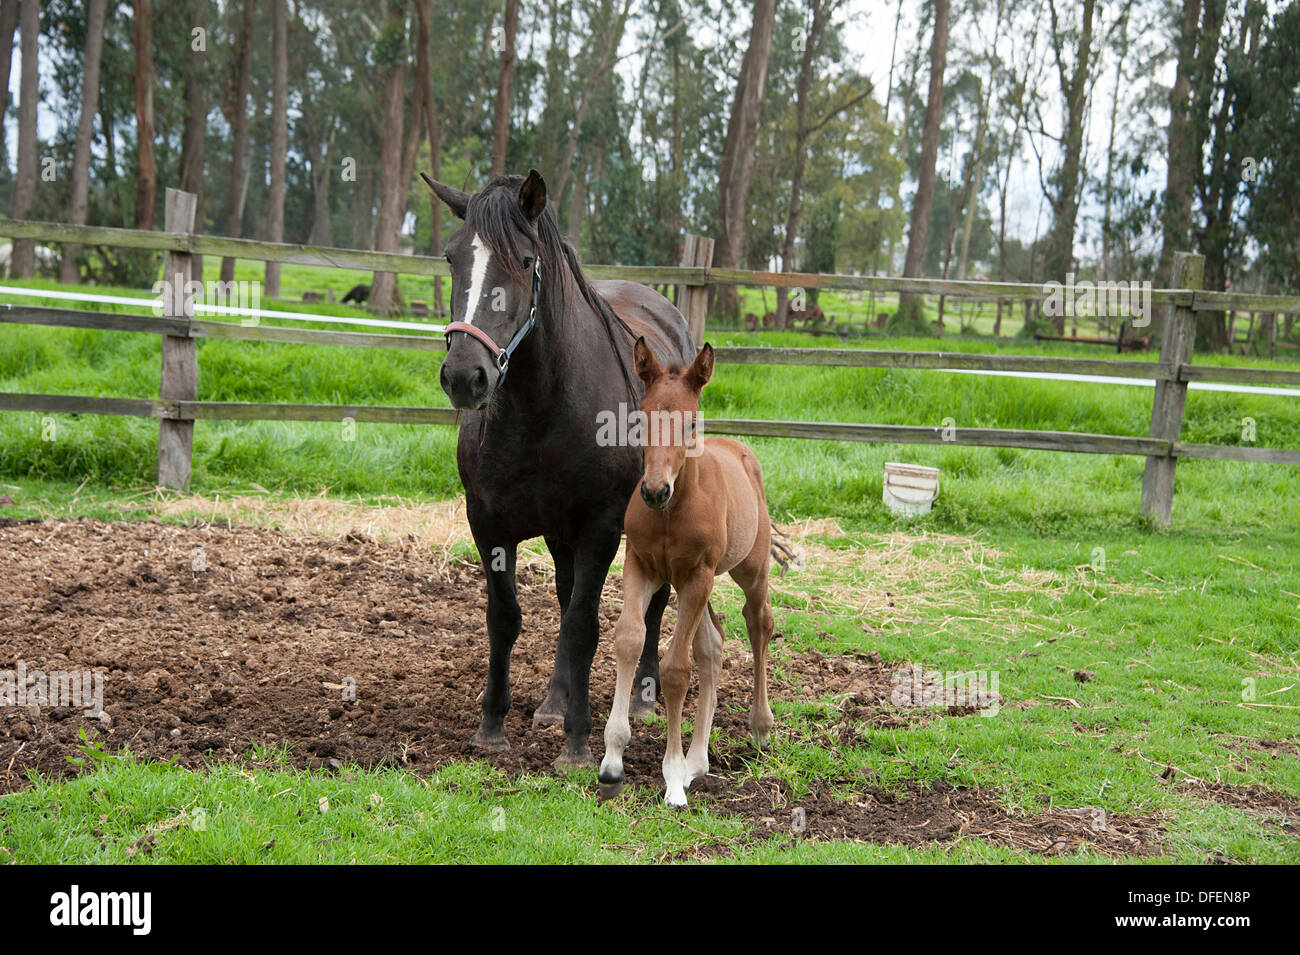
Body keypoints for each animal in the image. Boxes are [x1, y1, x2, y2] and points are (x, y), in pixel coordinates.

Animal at [421, 167, 696, 764]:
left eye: (525, 261)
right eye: (452, 257)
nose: (465, 377)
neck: (541, 410)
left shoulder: (600, 528)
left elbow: (583, 627)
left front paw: (577, 743)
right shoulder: (488, 523)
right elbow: (507, 618)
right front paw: (492, 725)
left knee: (654, 602)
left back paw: (642, 697)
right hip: (556, 532)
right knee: (566, 594)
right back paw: (553, 701)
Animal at [595, 337, 769, 805]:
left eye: (691, 423)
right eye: (640, 418)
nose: (654, 491)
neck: (672, 512)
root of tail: (742, 452)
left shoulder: (697, 576)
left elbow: (675, 669)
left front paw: (671, 777)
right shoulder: (641, 566)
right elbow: (630, 640)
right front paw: (613, 760)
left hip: (750, 570)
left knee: (759, 623)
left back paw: (760, 727)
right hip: (691, 585)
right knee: (713, 645)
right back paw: (698, 762)